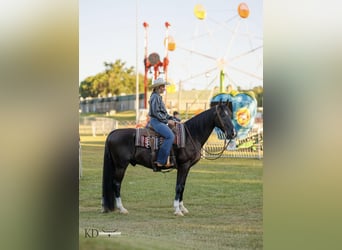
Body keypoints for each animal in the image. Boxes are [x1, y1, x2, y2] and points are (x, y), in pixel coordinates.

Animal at [101, 102, 235, 216]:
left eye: (230, 114)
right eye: (222, 115)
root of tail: (112, 133)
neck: (190, 136)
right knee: (116, 184)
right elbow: (179, 186)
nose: (232, 133)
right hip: (121, 166)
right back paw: (122, 209)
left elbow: (183, 186)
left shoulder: (186, 167)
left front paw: (182, 208)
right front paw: (177, 210)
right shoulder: (184, 165)